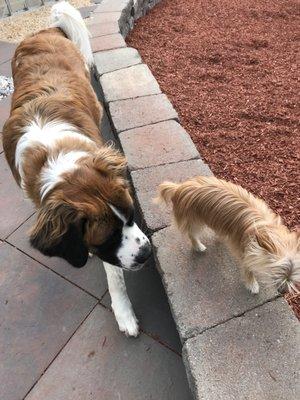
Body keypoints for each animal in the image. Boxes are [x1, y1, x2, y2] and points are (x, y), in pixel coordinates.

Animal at [2, 1, 150, 336]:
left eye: (133, 215)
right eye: (108, 237)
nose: (147, 253)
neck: (57, 160)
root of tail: (45, 29)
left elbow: (114, 274)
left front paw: (123, 311)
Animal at [158, 177, 298, 296]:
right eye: (275, 272)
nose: (283, 292)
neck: (265, 228)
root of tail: (179, 188)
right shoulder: (243, 250)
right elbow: (248, 269)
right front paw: (252, 284)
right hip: (193, 220)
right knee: (192, 234)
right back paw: (198, 246)